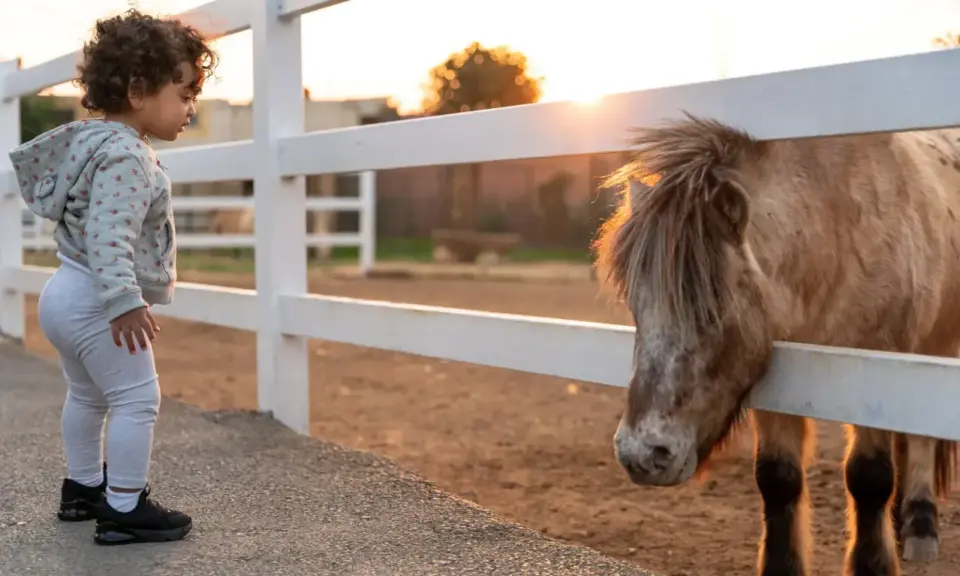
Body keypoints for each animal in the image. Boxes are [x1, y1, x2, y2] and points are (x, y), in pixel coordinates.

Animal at [592, 113, 960, 576]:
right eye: (635, 306)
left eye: (714, 309)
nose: (642, 454)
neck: (838, 231)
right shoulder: (777, 376)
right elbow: (777, 478)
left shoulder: (876, 366)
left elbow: (869, 476)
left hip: (935, 348)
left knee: (923, 441)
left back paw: (920, 524)